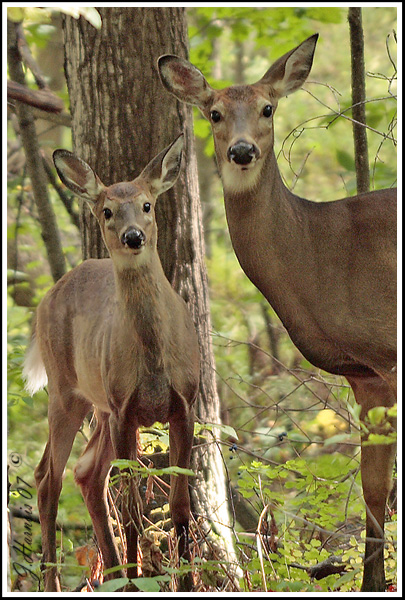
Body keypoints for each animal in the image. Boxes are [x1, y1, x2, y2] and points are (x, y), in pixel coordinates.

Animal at [22, 136, 200, 592]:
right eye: (107, 211)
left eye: (147, 205)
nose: (132, 236)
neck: (154, 359)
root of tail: (47, 297)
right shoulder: (125, 408)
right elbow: (134, 509)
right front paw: (142, 577)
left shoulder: (185, 402)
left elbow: (179, 506)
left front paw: (187, 581)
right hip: (65, 391)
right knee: (48, 478)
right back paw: (58, 582)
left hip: (99, 405)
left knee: (86, 473)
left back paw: (115, 574)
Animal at [158, 35, 394, 592]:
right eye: (214, 112)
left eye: (268, 108)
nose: (243, 150)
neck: (321, 253)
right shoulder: (366, 376)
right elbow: (375, 493)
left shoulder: (389, 354)